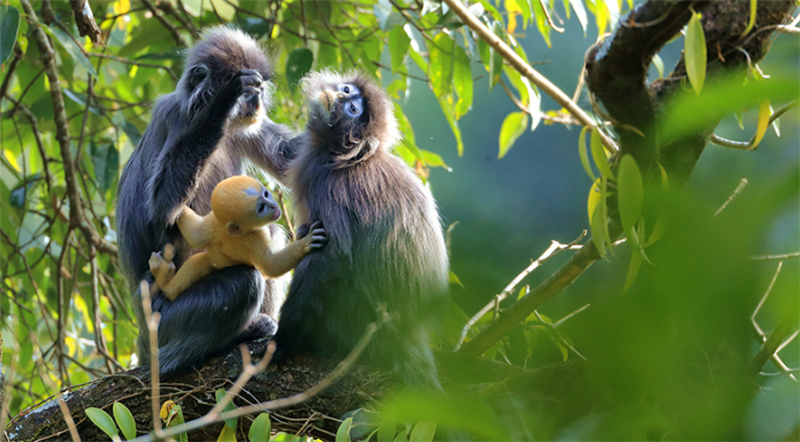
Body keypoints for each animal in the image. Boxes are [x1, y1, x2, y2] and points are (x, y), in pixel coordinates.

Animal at [117, 25, 304, 374]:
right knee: (245, 282)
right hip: (164, 319)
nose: (257, 97)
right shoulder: (173, 117)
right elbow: (163, 210)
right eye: (250, 90)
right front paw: (224, 101)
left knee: (269, 234)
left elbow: (293, 158)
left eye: (261, 89)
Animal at [148, 176, 326, 300]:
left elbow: (196, 235)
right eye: (261, 208)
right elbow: (271, 266)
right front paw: (305, 244)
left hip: (211, 261)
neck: (236, 231)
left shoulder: (215, 223)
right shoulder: (255, 237)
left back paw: (165, 282)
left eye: (266, 194)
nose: (273, 206)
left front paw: (176, 207)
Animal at [274, 71, 450, 388]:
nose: (341, 96)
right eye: (347, 90)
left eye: (353, 109)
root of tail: (408, 335)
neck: (342, 156)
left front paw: (283, 340)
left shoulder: (330, 186)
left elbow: (333, 255)